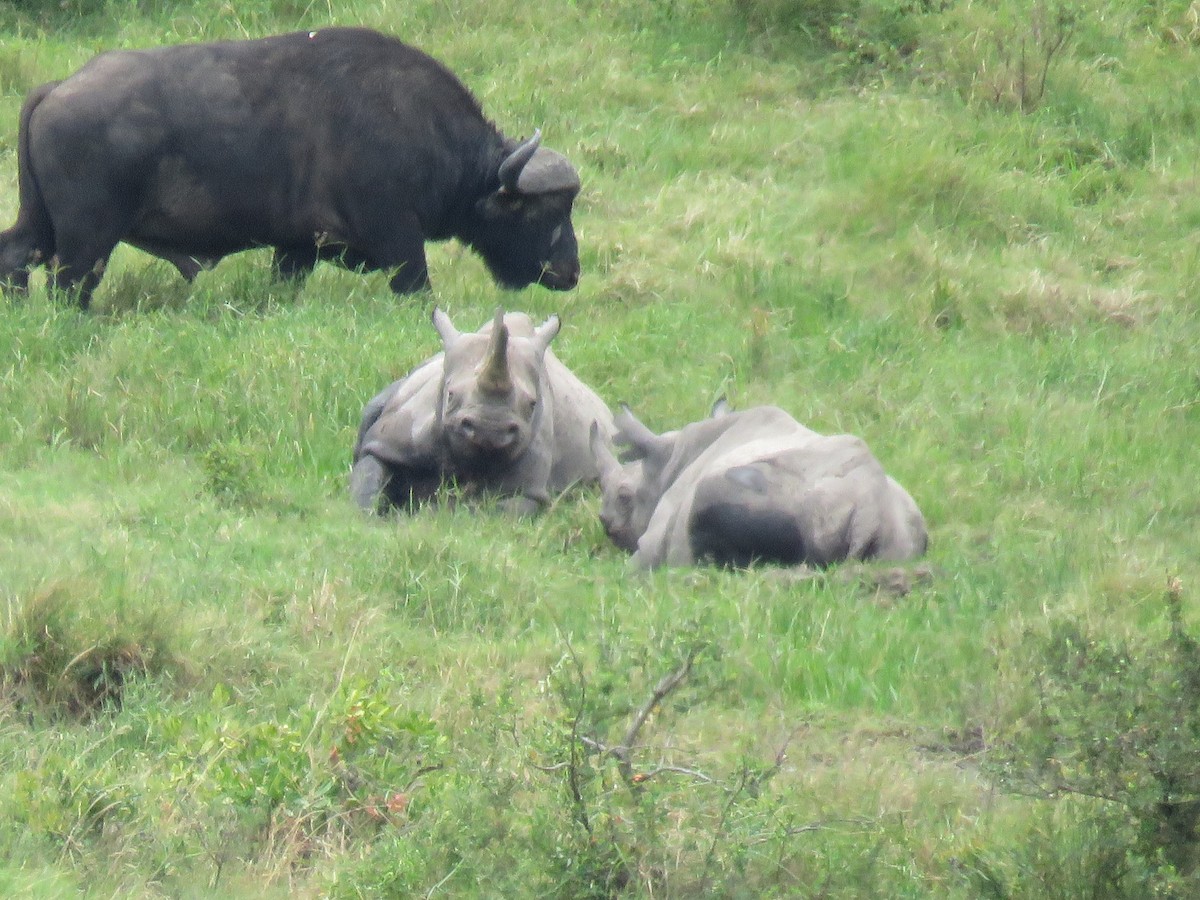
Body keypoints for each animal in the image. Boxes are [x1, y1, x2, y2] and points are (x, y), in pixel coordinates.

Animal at [351, 307, 615, 514]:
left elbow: (484, 511)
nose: (489, 429)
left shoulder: (528, 491)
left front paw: (424, 511)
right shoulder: (393, 438)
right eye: (450, 395)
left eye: (532, 405)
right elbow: (368, 476)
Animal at [589, 401, 927, 569]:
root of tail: (870, 515)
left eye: (624, 496)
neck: (670, 460)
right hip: (904, 528)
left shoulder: (652, 539)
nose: (605, 523)